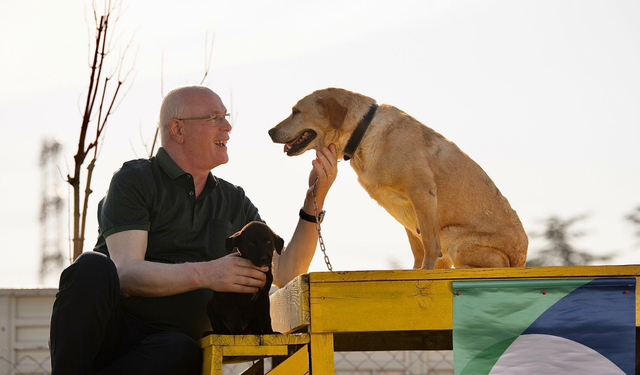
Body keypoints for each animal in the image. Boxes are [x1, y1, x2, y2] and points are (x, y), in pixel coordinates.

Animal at [268, 88, 528, 270]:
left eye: (296, 111)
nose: (269, 131)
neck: (363, 133)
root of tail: (522, 259)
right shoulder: (406, 210)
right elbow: (418, 250)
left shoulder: (421, 193)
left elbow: (429, 246)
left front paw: (424, 273)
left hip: (451, 236)